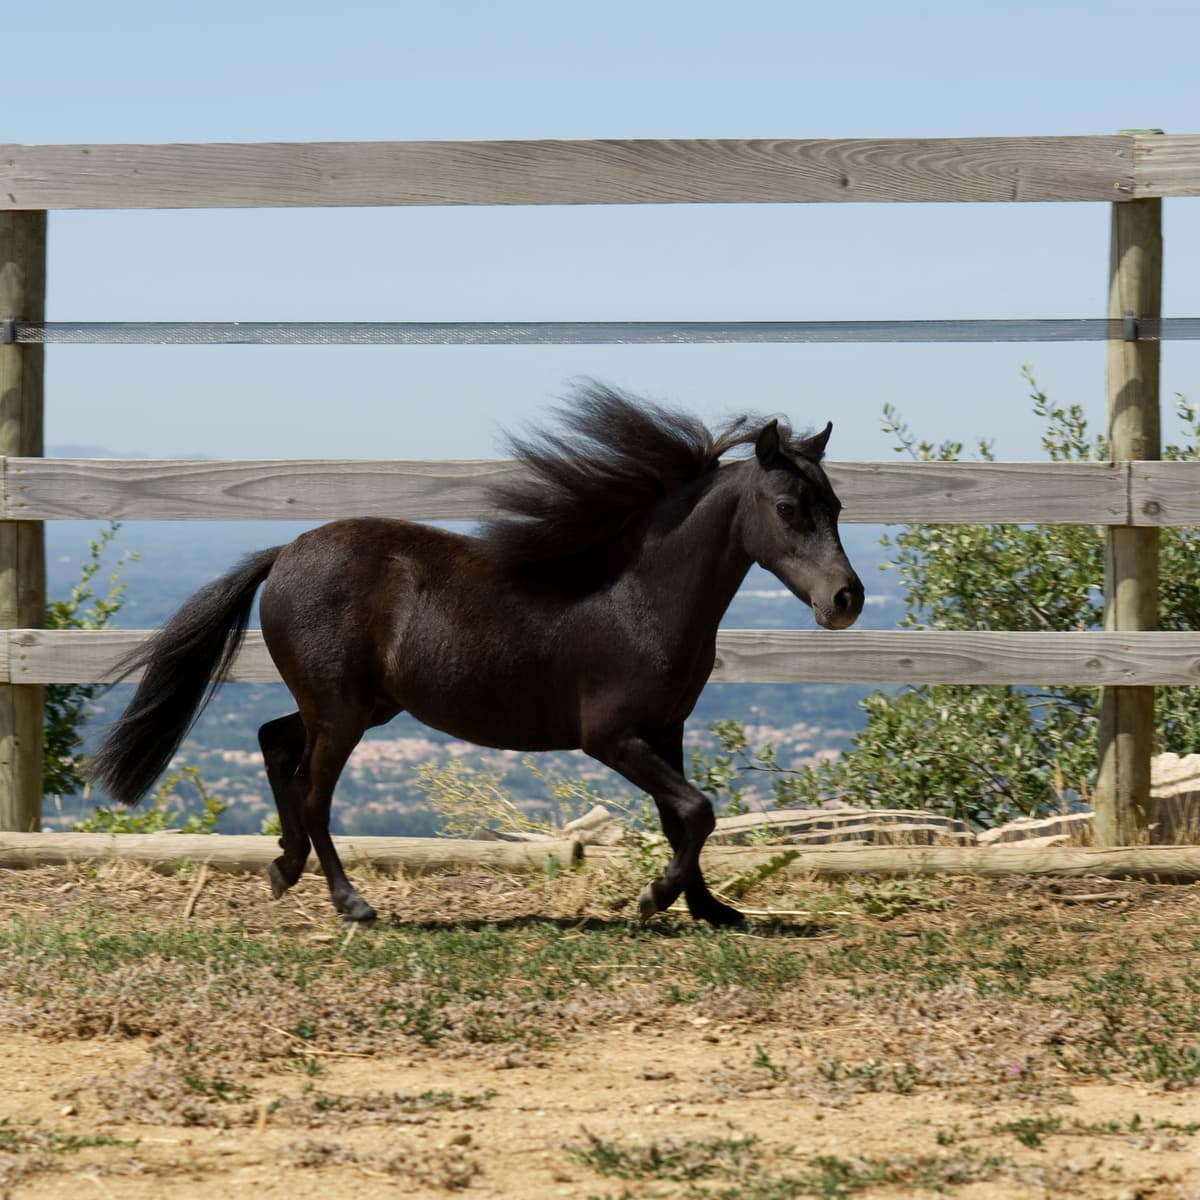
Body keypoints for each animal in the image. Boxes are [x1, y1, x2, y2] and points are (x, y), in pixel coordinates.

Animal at [87, 384, 864, 925]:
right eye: (789, 509)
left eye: (836, 507)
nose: (845, 599)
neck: (640, 594)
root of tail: (284, 554)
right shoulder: (611, 737)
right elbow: (698, 812)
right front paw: (654, 899)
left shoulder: (666, 729)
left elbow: (685, 816)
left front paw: (710, 909)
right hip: (342, 713)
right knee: (312, 789)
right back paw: (349, 901)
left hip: (355, 706)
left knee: (275, 741)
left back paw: (284, 867)